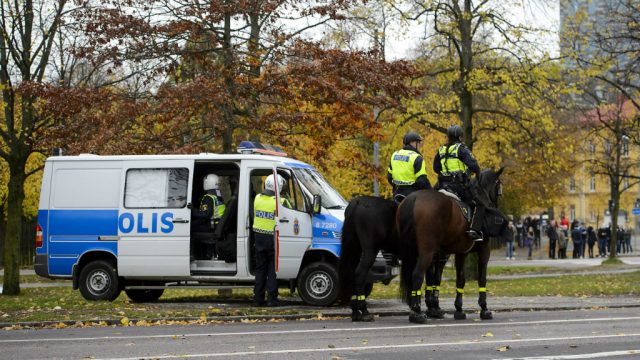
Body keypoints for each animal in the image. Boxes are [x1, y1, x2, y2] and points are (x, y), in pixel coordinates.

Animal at [396, 168, 510, 324]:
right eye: (499, 188)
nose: (494, 205)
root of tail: (413, 199)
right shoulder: (483, 250)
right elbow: (481, 278)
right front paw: (484, 309)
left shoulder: (459, 252)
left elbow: (458, 279)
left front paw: (458, 309)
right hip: (427, 251)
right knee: (417, 275)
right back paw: (417, 312)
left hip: (415, 252)